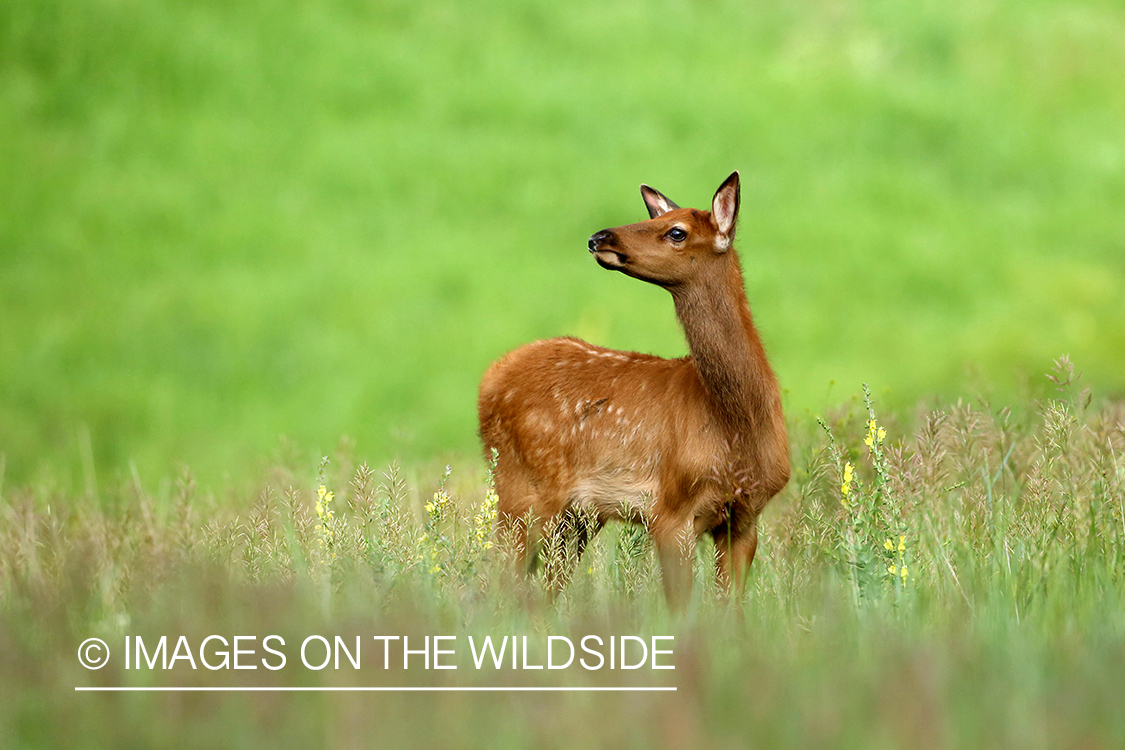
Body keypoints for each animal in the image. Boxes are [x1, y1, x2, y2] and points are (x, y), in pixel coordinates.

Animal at [479, 173, 787, 607]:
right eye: (658, 220)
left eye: (676, 231)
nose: (599, 237)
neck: (737, 425)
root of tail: (490, 378)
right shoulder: (670, 510)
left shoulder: (744, 518)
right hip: (519, 488)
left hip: (574, 517)